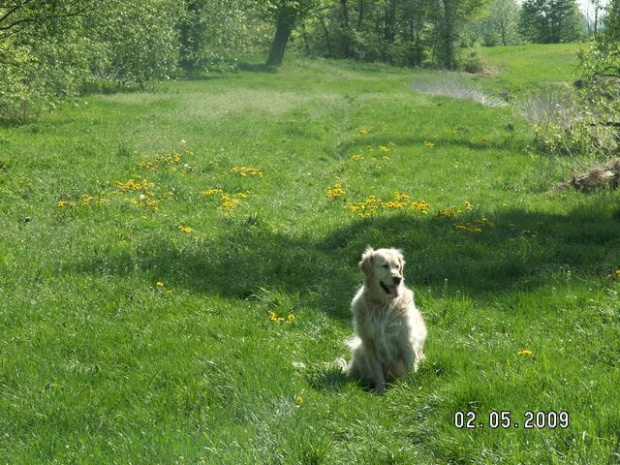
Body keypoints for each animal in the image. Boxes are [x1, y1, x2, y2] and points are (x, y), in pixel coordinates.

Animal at [344, 246, 426, 392]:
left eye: (397, 266)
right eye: (385, 266)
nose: (398, 278)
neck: (383, 305)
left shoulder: (406, 341)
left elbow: (411, 368)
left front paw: (411, 388)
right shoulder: (370, 344)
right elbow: (377, 372)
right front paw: (380, 391)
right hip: (360, 351)